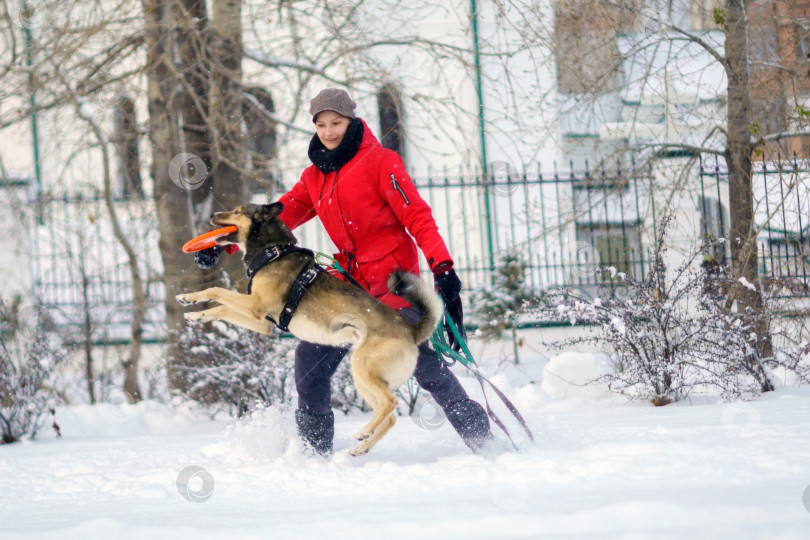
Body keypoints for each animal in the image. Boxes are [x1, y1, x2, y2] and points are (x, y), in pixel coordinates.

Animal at [176, 202, 442, 456]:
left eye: (235, 211)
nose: (211, 214)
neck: (272, 252)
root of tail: (411, 330)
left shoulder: (255, 306)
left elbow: (216, 291)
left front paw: (190, 299)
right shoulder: (261, 321)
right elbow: (220, 308)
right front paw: (192, 311)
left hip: (363, 366)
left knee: (391, 403)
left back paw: (363, 432)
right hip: (362, 378)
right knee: (391, 418)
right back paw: (362, 447)